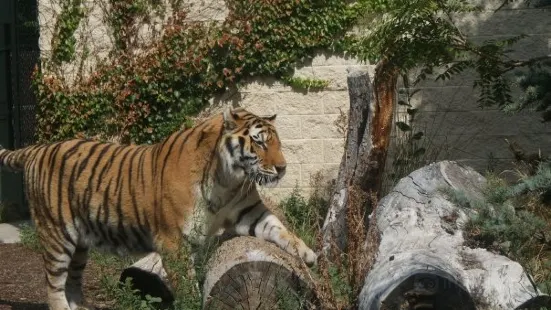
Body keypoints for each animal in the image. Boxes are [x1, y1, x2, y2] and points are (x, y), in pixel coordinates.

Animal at [0, 107, 316, 310]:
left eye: (278, 143)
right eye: (259, 142)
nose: (282, 168)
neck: (229, 181)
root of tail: (38, 148)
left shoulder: (249, 210)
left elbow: (278, 229)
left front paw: (308, 254)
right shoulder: (173, 240)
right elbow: (186, 286)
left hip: (80, 244)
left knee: (74, 282)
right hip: (57, 233)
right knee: (54, 284)